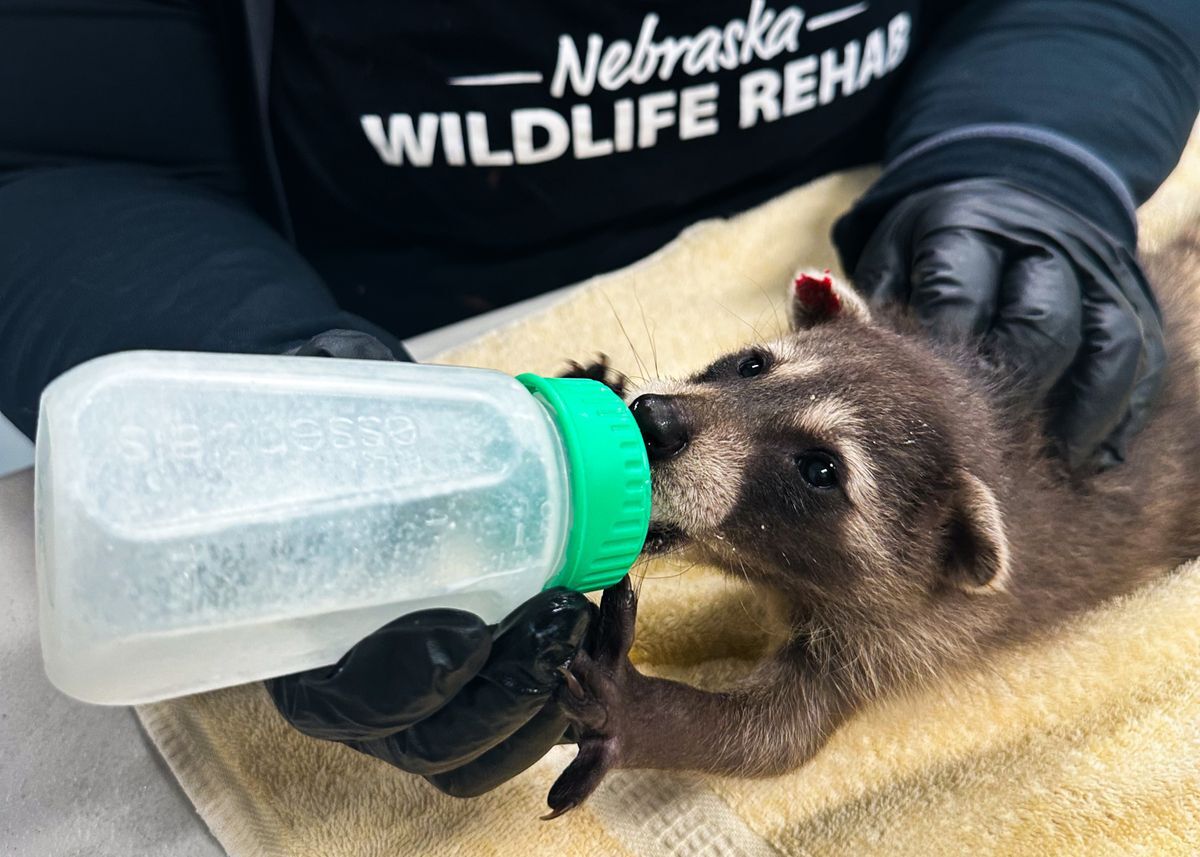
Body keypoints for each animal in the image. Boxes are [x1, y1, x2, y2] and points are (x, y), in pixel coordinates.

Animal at [544, 231, 1200, 816]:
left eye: (820, 469)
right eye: (753, 364)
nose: (654, 420)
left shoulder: (910, 634)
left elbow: (773, 738)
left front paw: (640, 712)